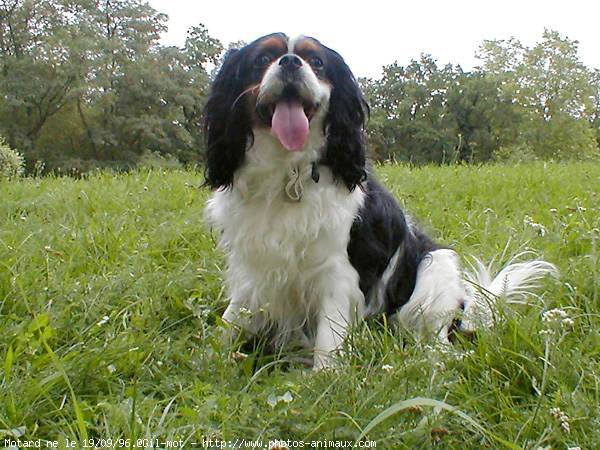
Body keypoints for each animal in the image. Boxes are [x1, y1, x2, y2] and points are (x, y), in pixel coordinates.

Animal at [203, 32, 556, 370]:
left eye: (316, 62)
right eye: (263, 58)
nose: (290, 62)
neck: (288, 170)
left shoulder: (339, 273)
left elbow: (329, 336)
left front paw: (325, 377)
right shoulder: (253, 266)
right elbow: (232, 317)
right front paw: (210, 358)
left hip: (435, 268)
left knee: (439, 343)